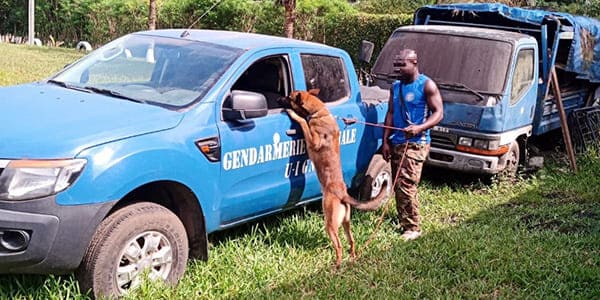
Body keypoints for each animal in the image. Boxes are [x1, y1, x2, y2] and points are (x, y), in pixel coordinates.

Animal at [280, 89, 386, 268]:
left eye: (289, 97)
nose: (279, 99)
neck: (319, 112)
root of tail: (342, 194)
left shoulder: (313, 140)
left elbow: (303, 122)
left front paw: (294, 114)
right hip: (346, 223)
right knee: (352, 241)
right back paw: (352, 259)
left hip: (330, 223)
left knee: (339, 245)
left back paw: (336, 265)